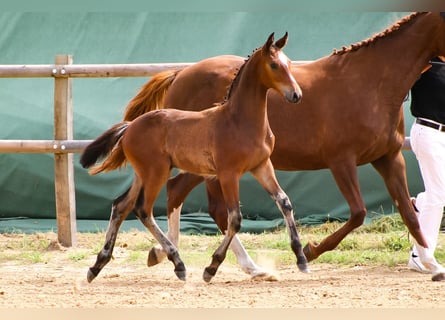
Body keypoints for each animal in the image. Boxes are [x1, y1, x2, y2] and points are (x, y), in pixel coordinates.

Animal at [80, 32, 306, 282]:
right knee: (143, 210)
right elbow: (234, 218)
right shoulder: (228, 174)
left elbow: (284, 202)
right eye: (274, 65)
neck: (239, 120)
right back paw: (177, 263)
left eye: (290, 63)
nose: (296, 95)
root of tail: (130, 127)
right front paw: (211, 268)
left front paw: (301, 258)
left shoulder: (262, 166)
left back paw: (97, 265)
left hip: (144, 174)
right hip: (157, 173)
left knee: (121, 205)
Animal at [119, 12, 444, 278]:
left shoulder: (389, 158)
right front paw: (310, 251)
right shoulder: (341, 161)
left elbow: (409, 212)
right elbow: (358, 213)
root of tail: (179, 74)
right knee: (204, 205)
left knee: (184, 195)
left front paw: (431, 265)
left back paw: (172, 254)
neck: (370, 82)